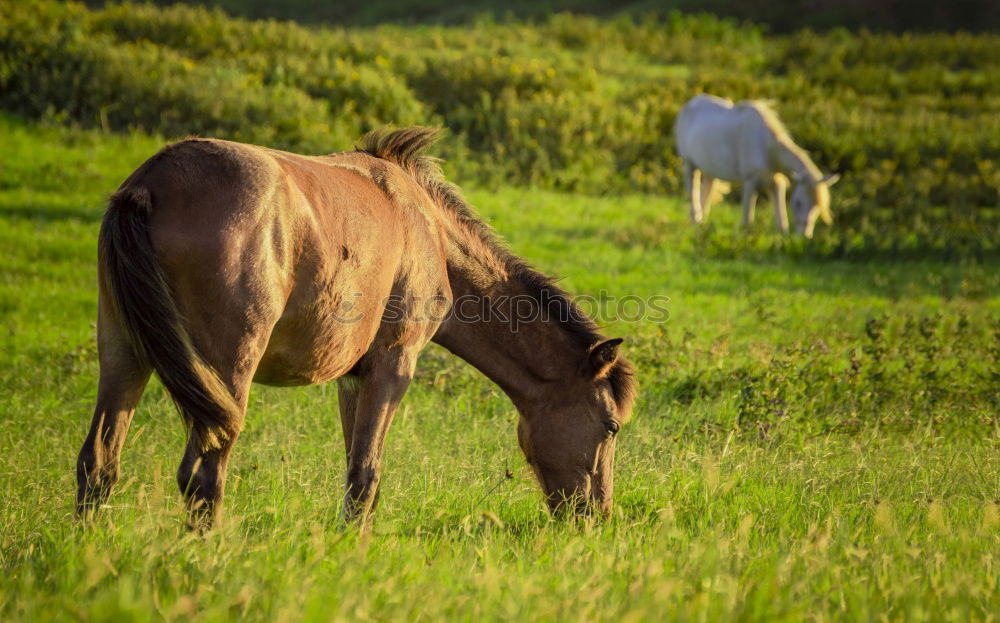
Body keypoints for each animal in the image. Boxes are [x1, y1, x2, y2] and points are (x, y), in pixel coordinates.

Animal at [80, 127, 640, 528]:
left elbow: (353, 469)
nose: (596, 516)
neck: (429, 230)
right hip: (228, 370)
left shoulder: (352, 377)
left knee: (98, 463)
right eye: (610, 426)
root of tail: (151, 184)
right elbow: (367, 474)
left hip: (124, 354)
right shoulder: (394, 366)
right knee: (202, 476)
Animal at [676, 94, 840, 238]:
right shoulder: (750, 181)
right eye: (798, 202)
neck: (767, 147)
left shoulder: (775, 182)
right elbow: (747, 217)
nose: (805, 236)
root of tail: (689, 103)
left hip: (710, 170)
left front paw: (784, 238)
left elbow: (781, 217)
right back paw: (696, 223)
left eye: (817, 206)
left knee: (707, 193)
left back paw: (702, 225)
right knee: (693, 193)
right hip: (689, 164)